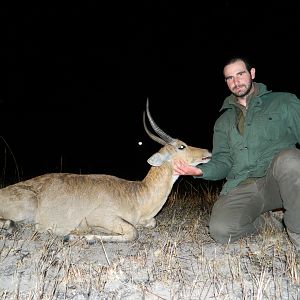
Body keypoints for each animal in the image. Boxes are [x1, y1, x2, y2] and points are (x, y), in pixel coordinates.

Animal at [0, 100, 211, 241]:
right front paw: (84, 236)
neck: (137, 195)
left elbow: (150, 223)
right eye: (181, 146)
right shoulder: (101, 216)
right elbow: (133, 232)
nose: (208, 152)